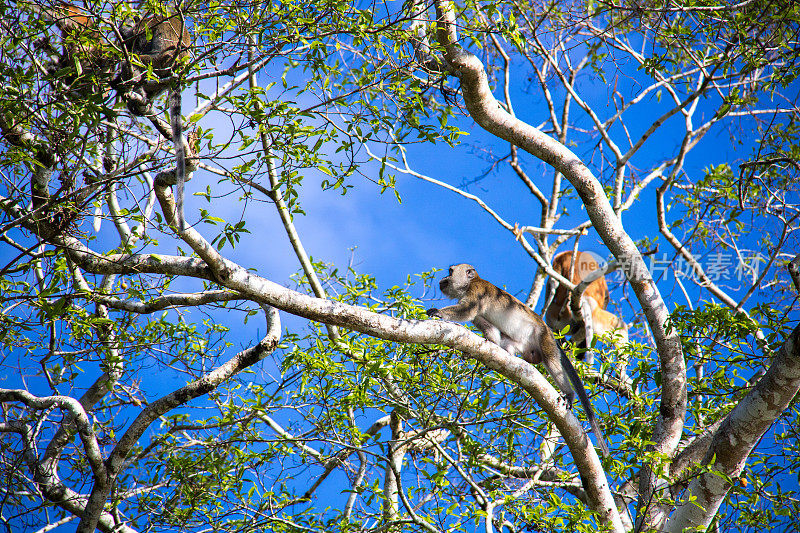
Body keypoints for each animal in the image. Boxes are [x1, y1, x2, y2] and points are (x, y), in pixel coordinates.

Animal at [428, 264, 608, 456]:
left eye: (450, 271)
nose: (443, 278)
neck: (470, 283)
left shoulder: (477, 291)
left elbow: (467, 310)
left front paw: (437, 312)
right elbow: (487, 326)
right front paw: (490, 342)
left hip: (543, 337)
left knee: (551, 361)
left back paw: (569, 394)